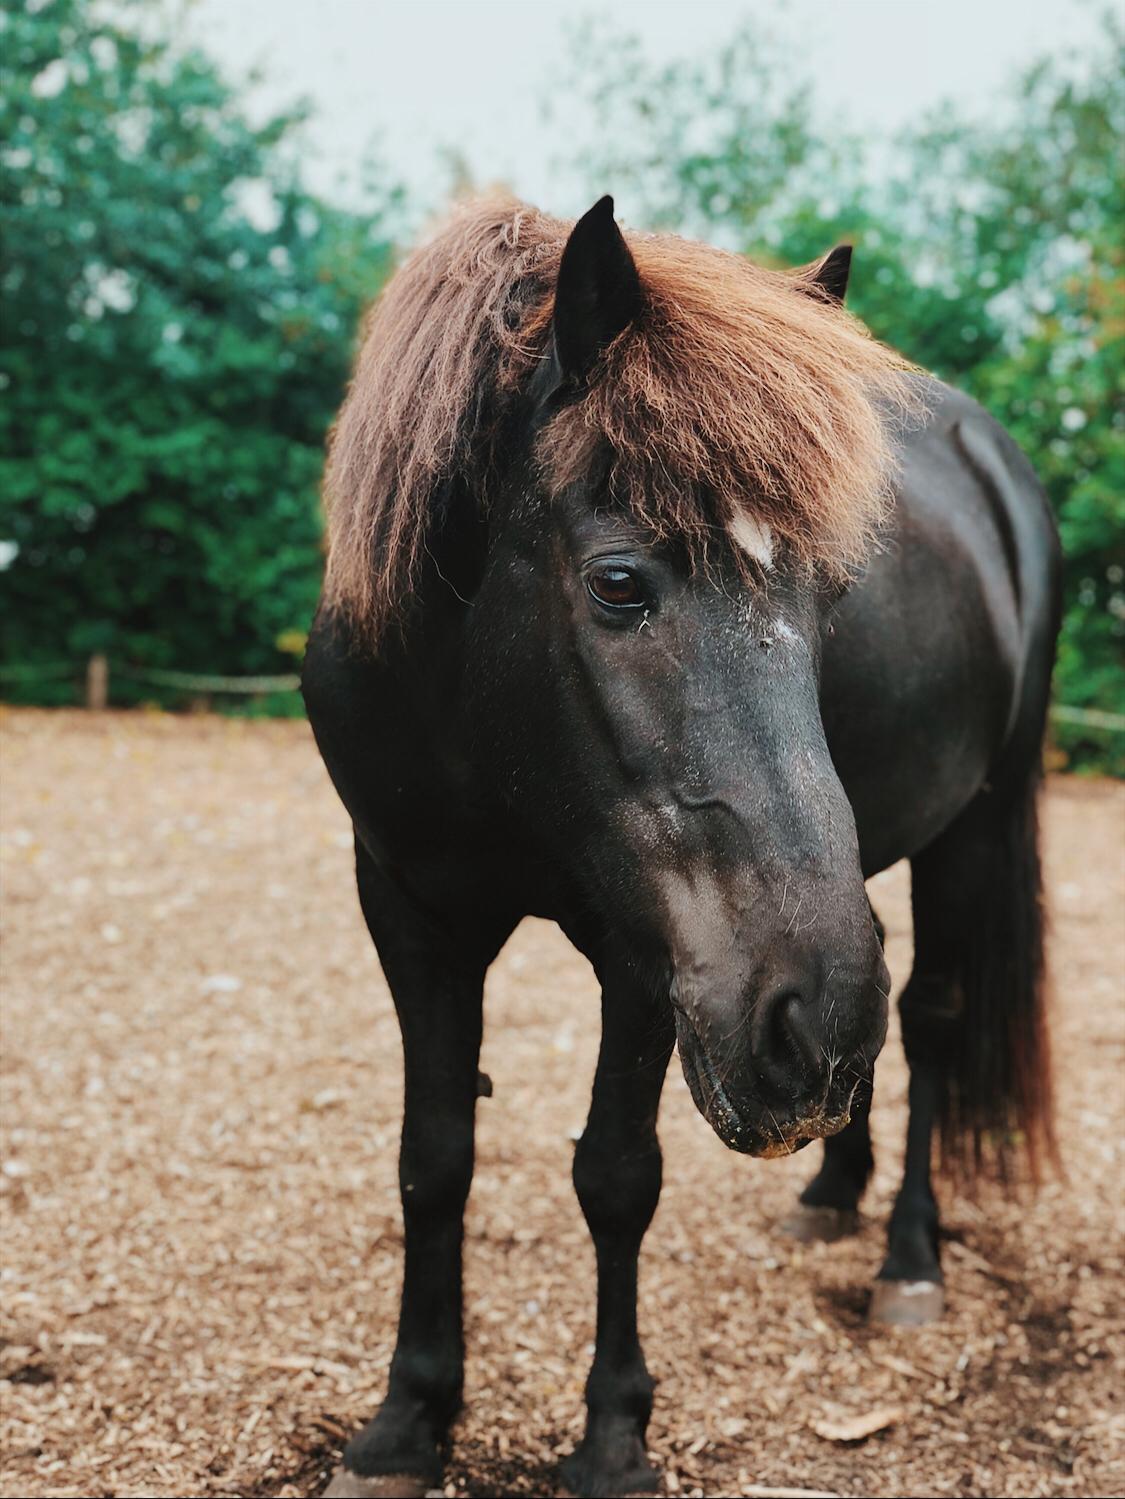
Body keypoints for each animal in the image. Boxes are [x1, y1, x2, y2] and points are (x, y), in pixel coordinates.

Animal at [301, 199, 1054, 1499]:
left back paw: (907, 1257)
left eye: (830, 593)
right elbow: (433, 1157)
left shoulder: (650, 951)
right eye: (619, 582)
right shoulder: (407, 906)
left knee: (932, 1016)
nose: (798, 1023)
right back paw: (831, 1186)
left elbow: (615, 1175)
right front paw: (407, 1418)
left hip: (968, 829)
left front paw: (613, 1433)